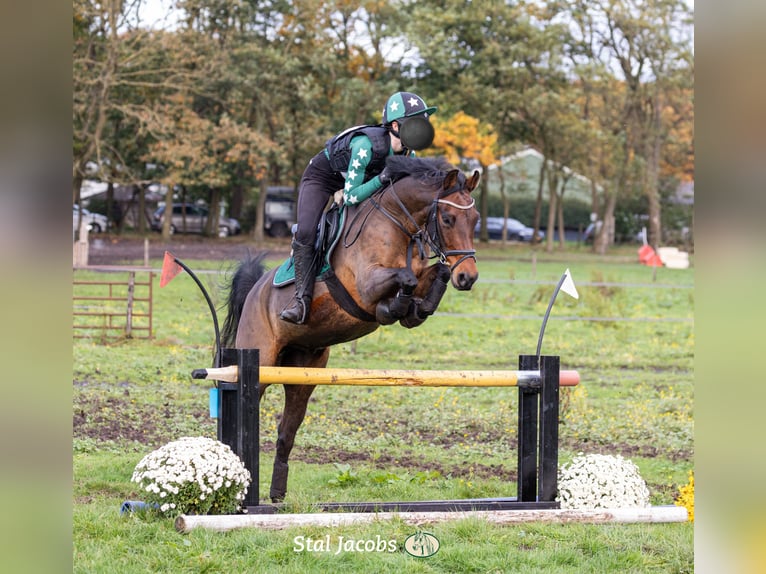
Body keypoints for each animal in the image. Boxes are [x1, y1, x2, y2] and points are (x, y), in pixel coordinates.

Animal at [222, 155, 480, 502]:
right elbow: (405, 279)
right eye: (449, 219)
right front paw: (393, 307)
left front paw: (413, 310)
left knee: (286, 431)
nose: (468, 277)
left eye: (475, 219)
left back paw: (277, 494)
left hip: (303, 374)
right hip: (261, 361)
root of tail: (254, 291)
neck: (397, 223)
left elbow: (431, 275)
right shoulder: (365, 287)